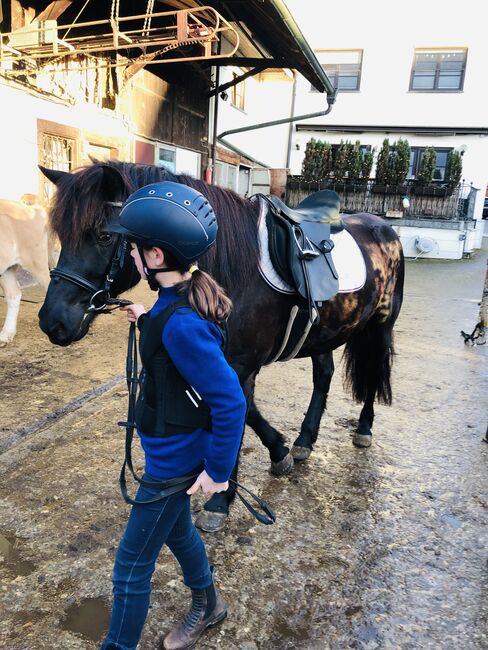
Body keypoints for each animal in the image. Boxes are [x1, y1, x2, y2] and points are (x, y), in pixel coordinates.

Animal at [39, 159, 404, 528]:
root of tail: (383, 228)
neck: (235, 270)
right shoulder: (225, 359)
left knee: (375, 371)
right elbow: (248, 411)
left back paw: (364, 428)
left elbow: (238, 417)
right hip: (325, 332)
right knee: (324, 375)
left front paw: (220, 500)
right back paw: (304, 440)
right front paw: (279, 452)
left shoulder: (240, 364)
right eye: (62, 236)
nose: (52, 322)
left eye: (104, 236)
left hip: (380, 325)